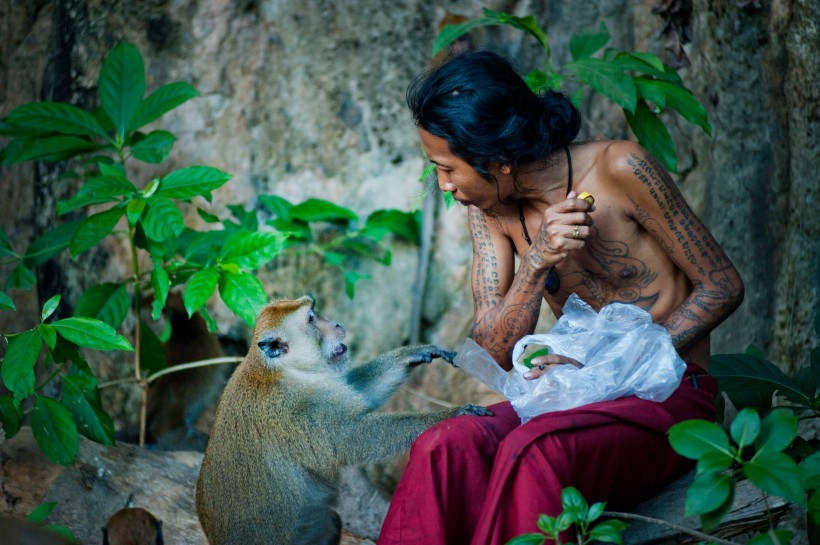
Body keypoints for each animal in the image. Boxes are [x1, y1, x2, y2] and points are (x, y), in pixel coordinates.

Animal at [197, 298, 494, 544]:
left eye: (314, 311)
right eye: (311, 319)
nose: (337, 324)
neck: (279, 370)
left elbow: (360, 394)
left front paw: (414, 353)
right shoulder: (299, 409)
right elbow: (351, 438)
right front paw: (450, 415)